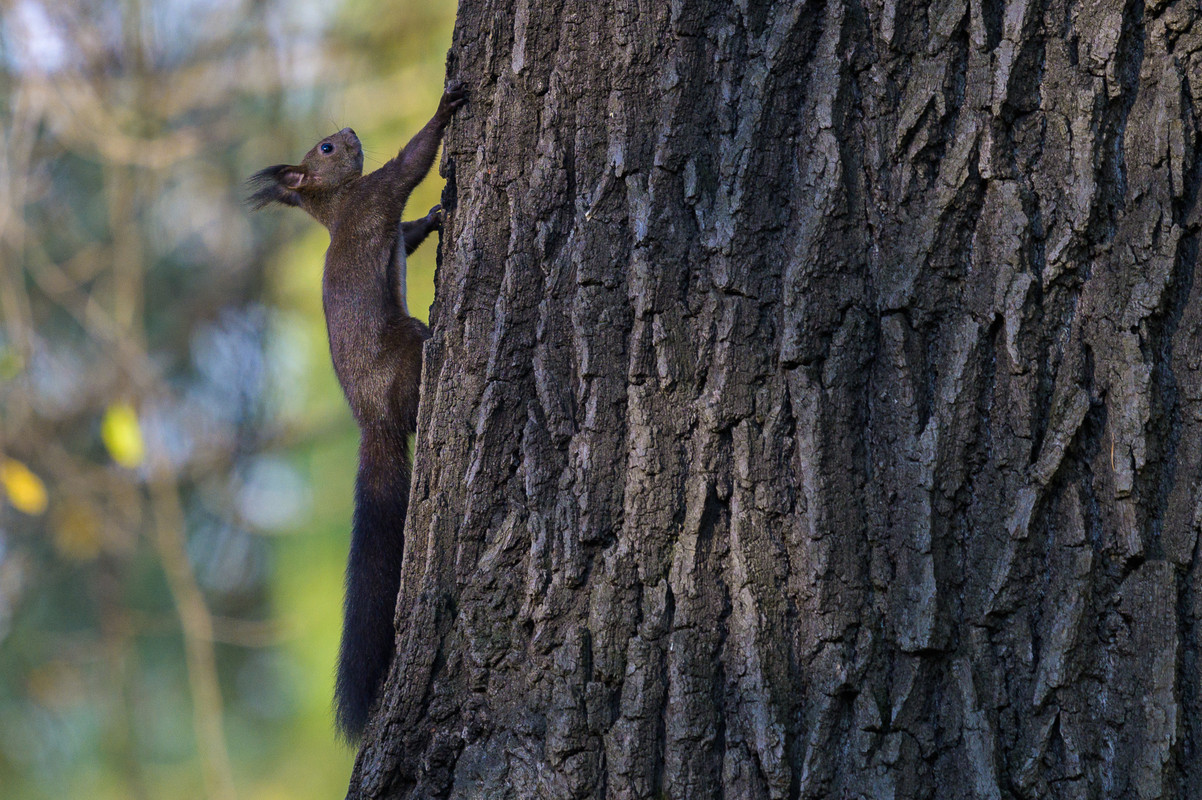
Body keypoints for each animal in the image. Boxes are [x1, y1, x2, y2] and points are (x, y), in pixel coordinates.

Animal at [247, 81, 463, 739]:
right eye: (325, 147)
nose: (347, 132)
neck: (336, 206)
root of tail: (373, 422)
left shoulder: (382, 218)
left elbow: (410, 233)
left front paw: (438, 216)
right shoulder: (377, 196)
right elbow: (410, 164)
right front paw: (446, 109)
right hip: (405, 348)